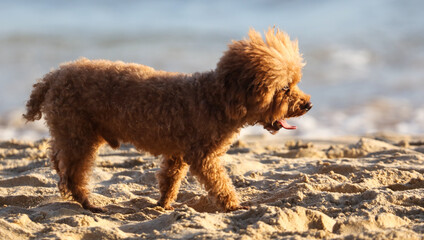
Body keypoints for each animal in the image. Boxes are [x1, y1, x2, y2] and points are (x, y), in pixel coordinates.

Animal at [24, 28, 314, 212]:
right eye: (285, 88)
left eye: (295, 83)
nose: (308, 104)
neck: (217, 99)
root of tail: (52, 76)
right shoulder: (203, 157)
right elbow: (220, 184)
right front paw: (233, 205)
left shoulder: (178, 153)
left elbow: (170, 179)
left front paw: (163, 204)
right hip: (79, 135)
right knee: (73, 174)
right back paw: (89, 204)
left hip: (72, 133)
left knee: (59, 163)